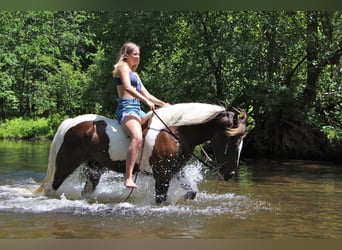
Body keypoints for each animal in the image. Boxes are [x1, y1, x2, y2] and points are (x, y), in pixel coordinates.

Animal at [34, 102, 247, 204]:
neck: (175, 132)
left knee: (86, 191)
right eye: (235, 140)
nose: (230, 174)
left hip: (95, 168)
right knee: (51, 189)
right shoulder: (162, 176)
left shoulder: (176, 171)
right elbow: (160, 200)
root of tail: (70, 122)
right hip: (65, 164)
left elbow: (192, 192)